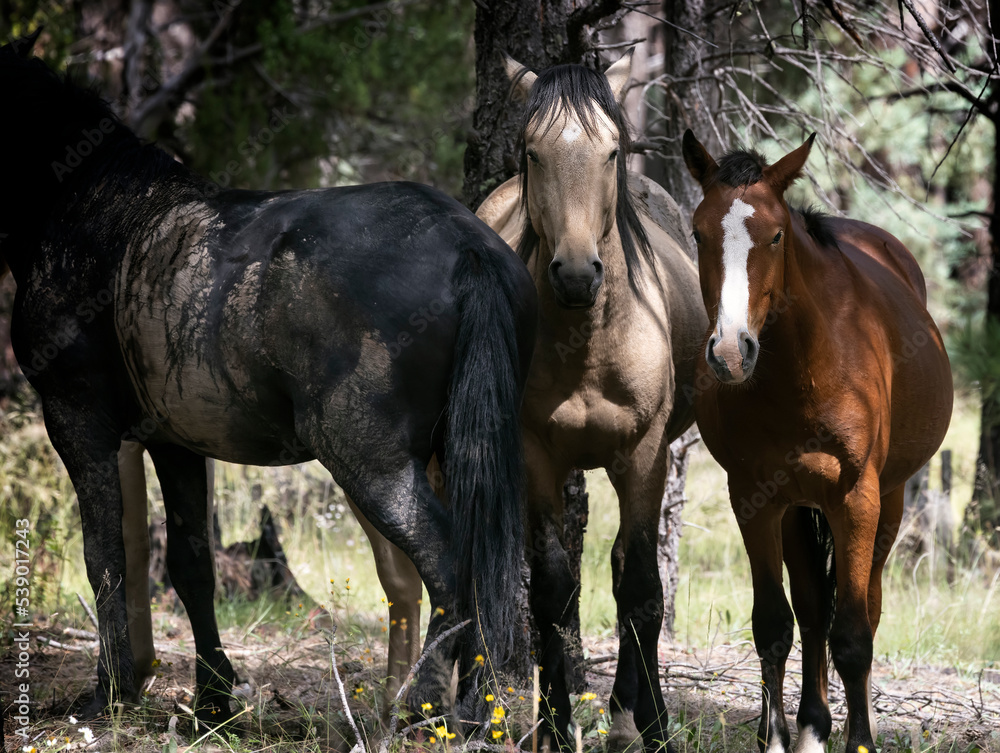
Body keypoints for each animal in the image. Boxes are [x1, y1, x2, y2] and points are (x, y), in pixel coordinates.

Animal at [0, 32, 536, 730]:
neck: (93, 206)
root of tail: (466, 244)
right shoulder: (173, 440)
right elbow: (191, 563)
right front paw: (211, 697)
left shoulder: (77, 420)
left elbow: (105, 554)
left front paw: (109, 693)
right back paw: (470, 708)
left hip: (370, 460)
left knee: (445, 559)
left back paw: (421, 706)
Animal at [474, 53, 708, 750]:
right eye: (533, 152)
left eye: (612, 151)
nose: (577, 275)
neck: (589, 343)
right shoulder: (537, 455)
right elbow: (554, 589)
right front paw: (554, 725)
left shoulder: (645, 453)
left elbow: (641, 587)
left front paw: (651, 724)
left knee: (625, 566)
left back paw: (629, 716)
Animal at [681, 130, 953, 753]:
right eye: (698, 233)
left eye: (776, 235)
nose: (730, 352)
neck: (802, 370)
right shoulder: (754, 499)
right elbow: (774, 625)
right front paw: (779, 737)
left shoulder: (857, 499)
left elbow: (853, 635)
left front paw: (861, 740)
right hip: (797, 508)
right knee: (809, 612)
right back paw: (812, 724)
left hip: (889, 502)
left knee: (865, 610)